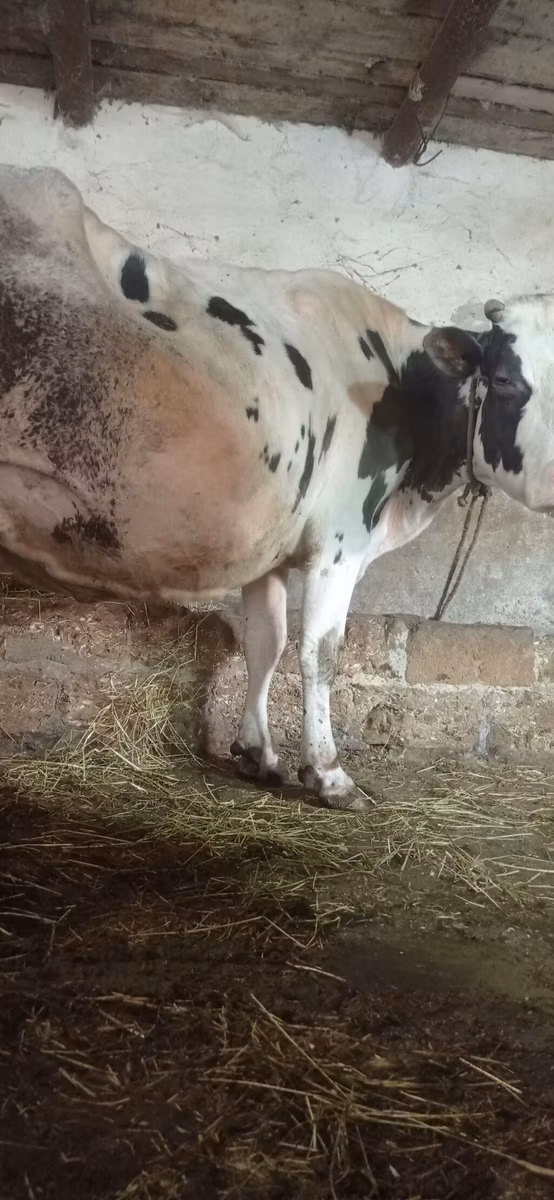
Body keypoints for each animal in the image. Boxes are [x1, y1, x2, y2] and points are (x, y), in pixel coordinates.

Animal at [0, 167, 552, 811]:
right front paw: (329, 773)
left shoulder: (271, 548)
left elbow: (266, 640)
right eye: (505, 379)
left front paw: (257, 754)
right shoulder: (338, 545)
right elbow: (320, 650)